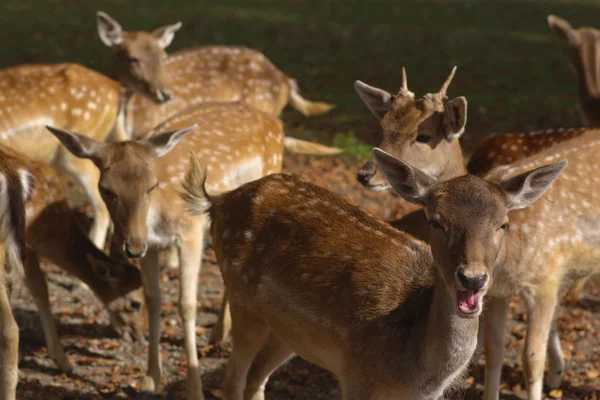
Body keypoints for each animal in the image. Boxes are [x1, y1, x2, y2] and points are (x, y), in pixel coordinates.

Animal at [0, 145, 142, 400]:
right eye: (136, 303)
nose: (141, 337)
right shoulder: (28, 243)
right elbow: (40, 287)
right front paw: (64, 362)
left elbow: (35, 287)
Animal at [183, 145, 568, 400]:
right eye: (435, 221)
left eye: (503, 224)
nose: (472, 277)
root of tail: (219, 200)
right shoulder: (356, 376)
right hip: (241, 297)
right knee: (233, 381)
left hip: (287, 333)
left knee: (255, 380)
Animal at [354, 67, 600, 398]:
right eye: (383, 128)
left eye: (424, 136)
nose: (366, 174)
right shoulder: (497, 293)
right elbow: (494, 352)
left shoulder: (546, 277)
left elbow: (530, 359)